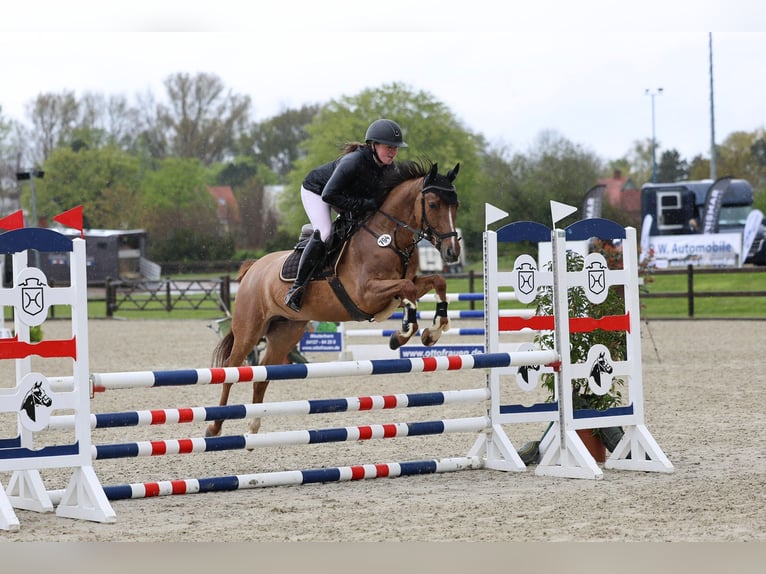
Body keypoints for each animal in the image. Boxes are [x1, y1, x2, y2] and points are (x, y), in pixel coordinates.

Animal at [207, 160, 462, 438]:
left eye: (456, 205)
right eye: (434, 204)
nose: (452, 252)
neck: (388, 238)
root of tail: (253, 268)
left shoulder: (408, 283)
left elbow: (437, 281)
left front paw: (433, 331)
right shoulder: (366, 294)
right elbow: (407, 291)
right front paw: (403, 333)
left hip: (285, 333)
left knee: (263, 373)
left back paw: (254, 426)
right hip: (249, 330)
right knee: (231, 369)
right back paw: (215, 425)